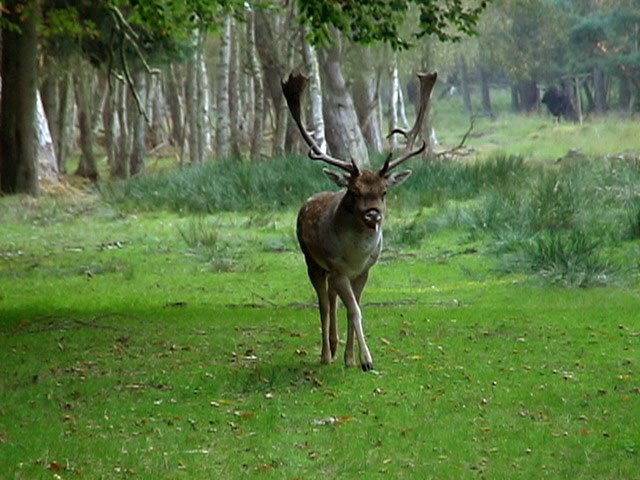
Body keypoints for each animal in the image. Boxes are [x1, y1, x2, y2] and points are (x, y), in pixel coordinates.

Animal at [282, 70, 438, 372]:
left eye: (384, 191)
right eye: (354, 192)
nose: (373, 214)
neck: (355, 256)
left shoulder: (364, 270)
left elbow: (355, 308)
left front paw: (351, 358)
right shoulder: (338, 268)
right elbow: (354, 310)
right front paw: (367, 361)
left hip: (328, 270)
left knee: (332, 299)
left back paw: (334, 347)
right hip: (312, 261)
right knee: (323, 303)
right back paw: (325, 354)